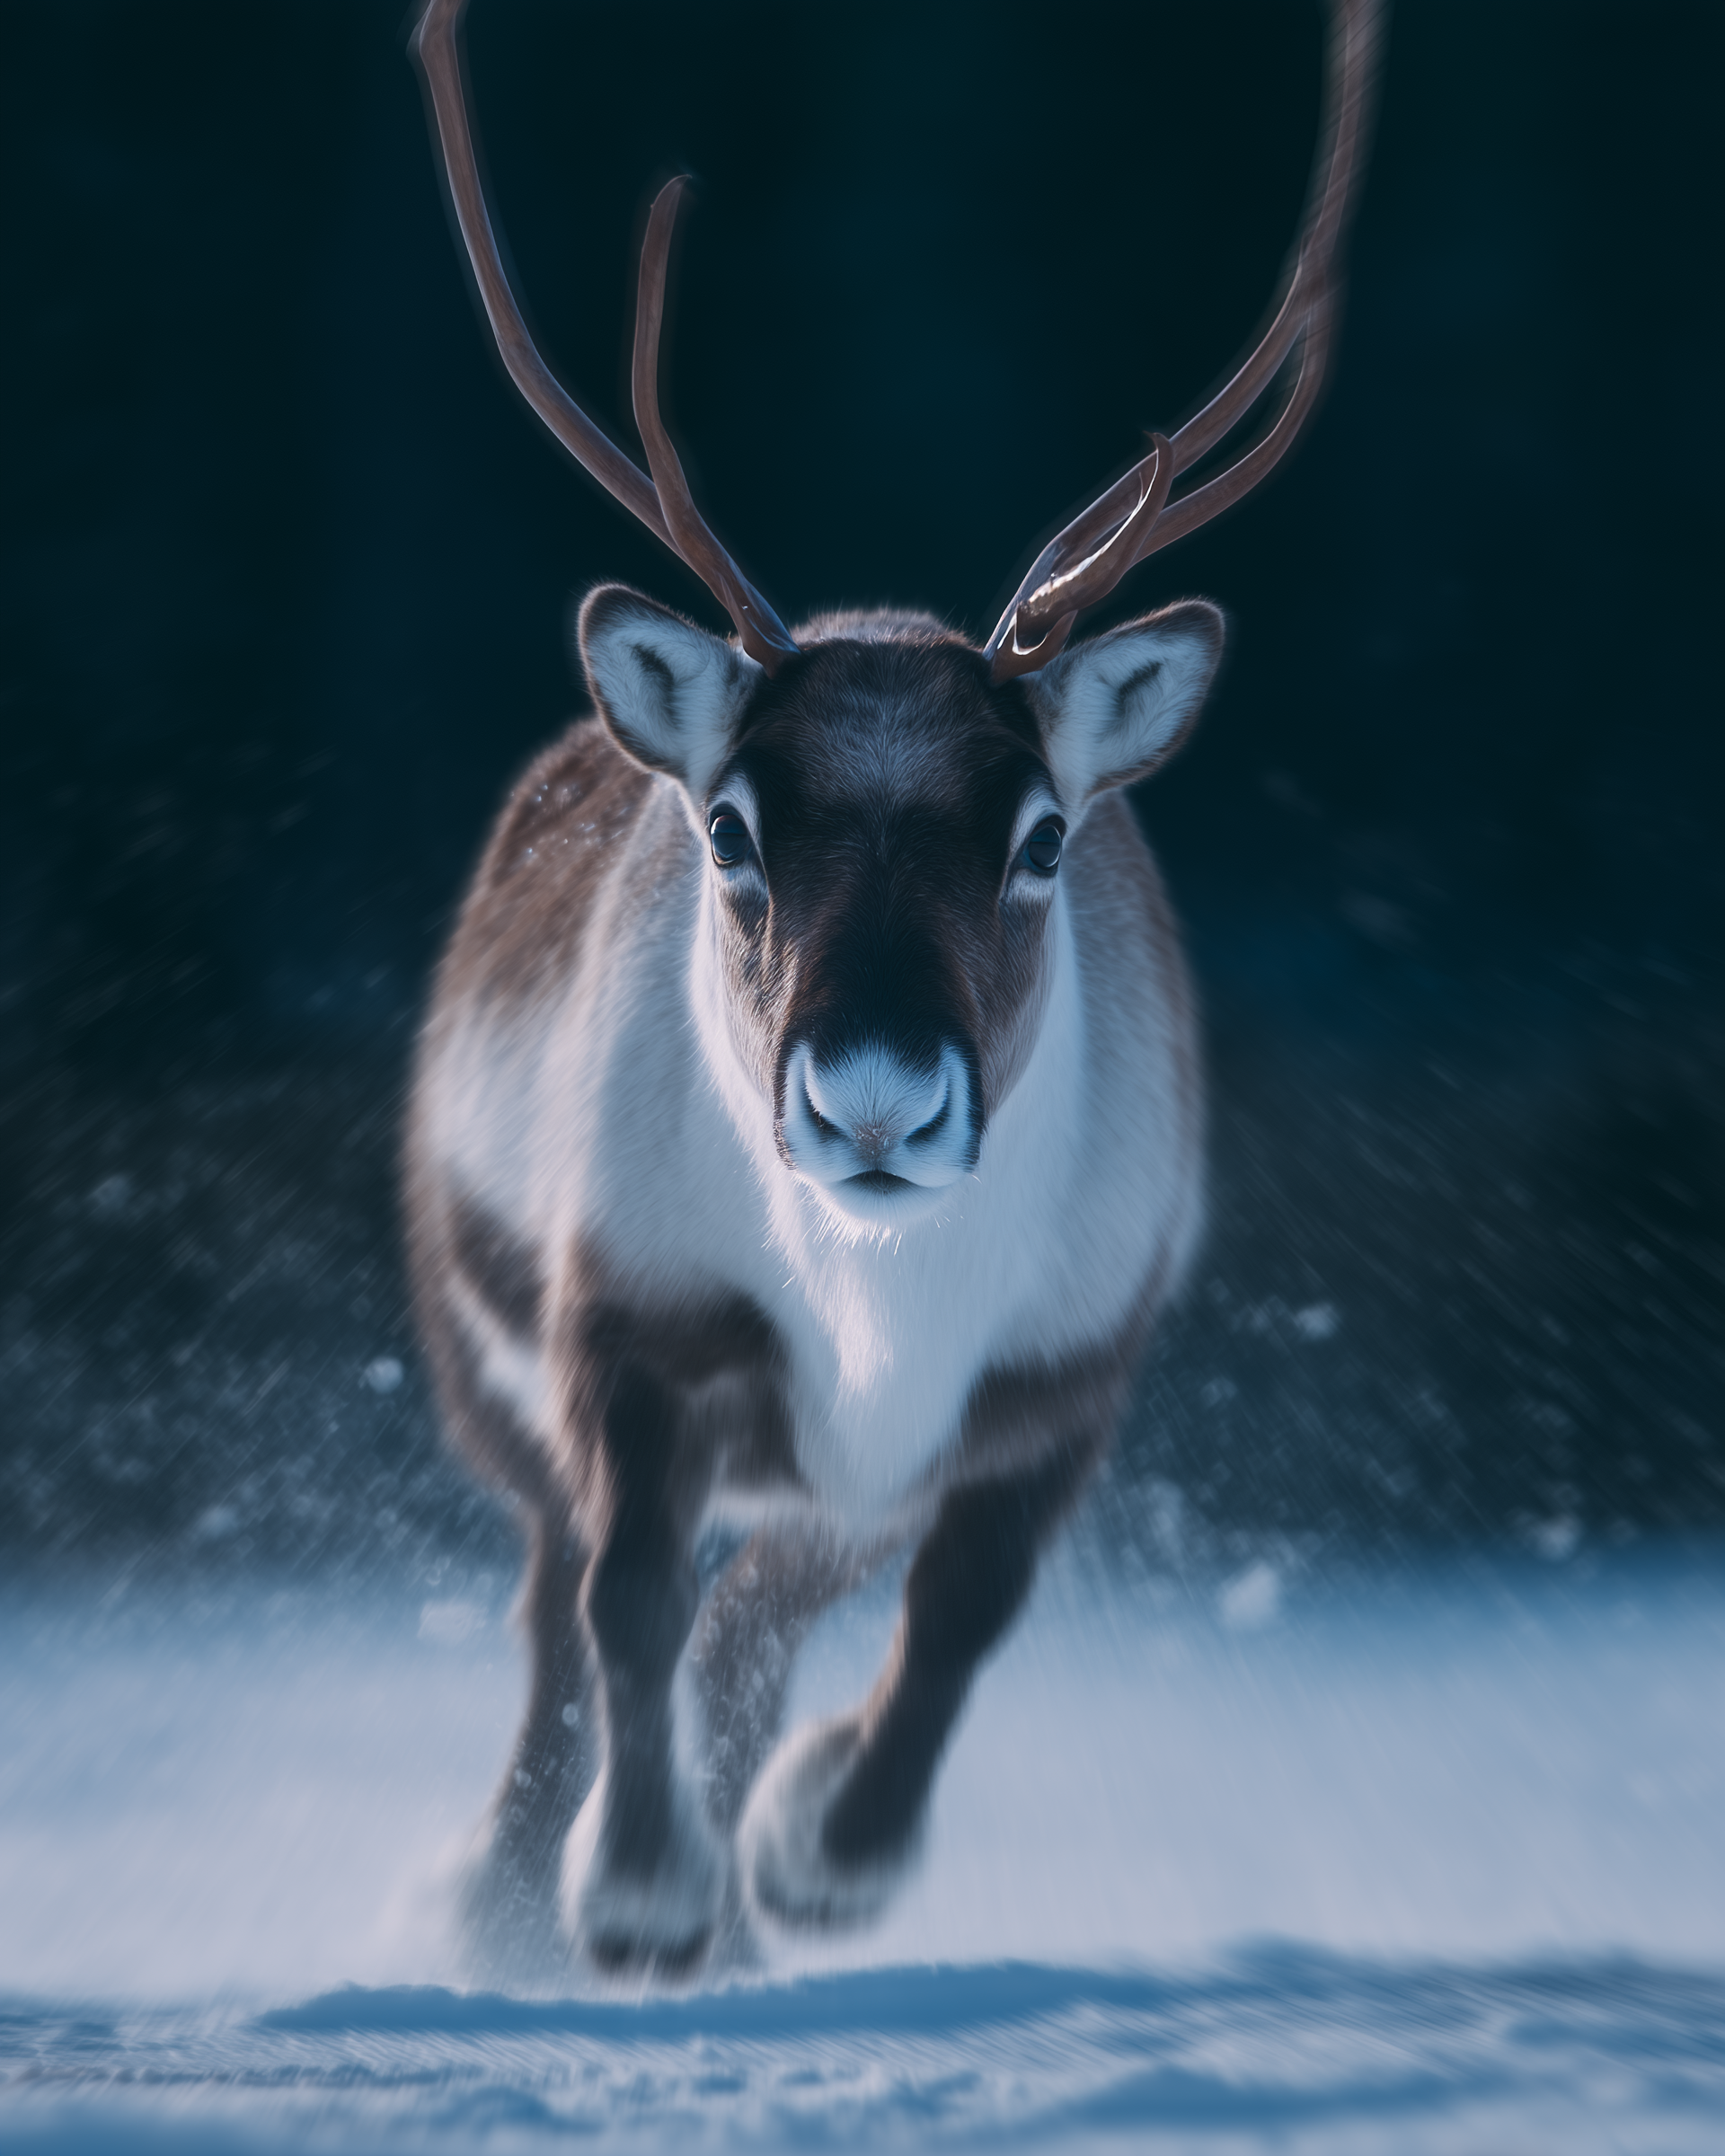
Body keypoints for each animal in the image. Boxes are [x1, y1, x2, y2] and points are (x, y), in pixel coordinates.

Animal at [404, 0, 1381, 1975]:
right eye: (730, 828)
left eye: (1042, 838)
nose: (872, 1098)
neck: (874, 1319)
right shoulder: (628, 1327)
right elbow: (624, 1602)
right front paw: (634, 1890)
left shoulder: (1062, 1373)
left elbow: (958, 1621)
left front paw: (815, 1857)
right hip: (500, 1376)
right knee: (565, 1600)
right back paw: (503, 1890)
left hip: (831, 1480)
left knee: (763, 1616)